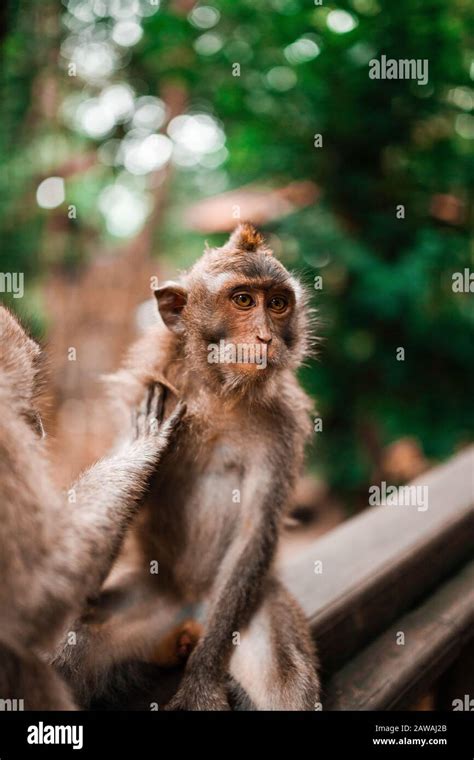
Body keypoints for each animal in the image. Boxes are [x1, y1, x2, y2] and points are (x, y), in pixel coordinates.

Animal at [58, 223, 318, 708]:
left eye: (277, 303)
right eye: (243, 300)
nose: (265, 338)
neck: (219, 393)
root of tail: (189, 614)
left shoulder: (284, 424)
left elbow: (255, 531)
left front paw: (200, 686)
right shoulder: (143, 391)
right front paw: (144, 447)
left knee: (284, 686)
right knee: (70, 650)